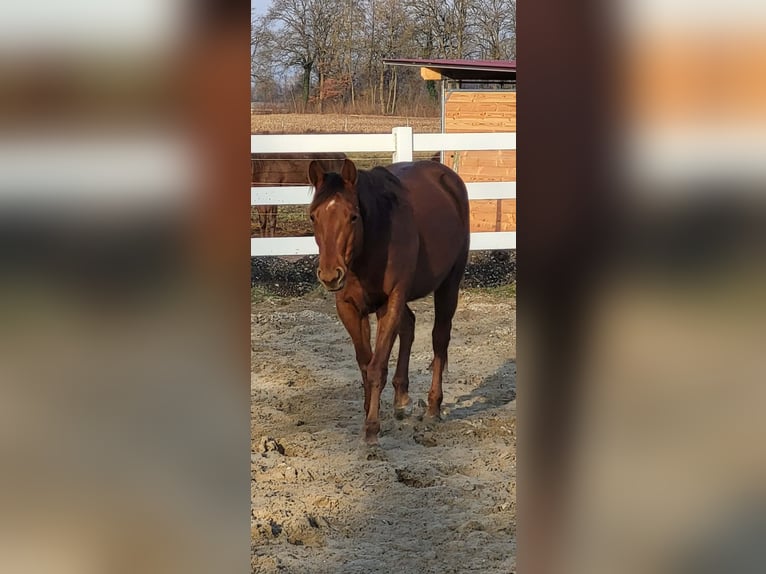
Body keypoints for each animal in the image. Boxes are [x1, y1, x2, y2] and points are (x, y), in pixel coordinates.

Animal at [308, 158, 470, 444]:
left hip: (449, 283)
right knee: (410, 326)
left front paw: (372, 428)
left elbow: (376, 367)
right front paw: (368, 412)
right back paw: (401, 399)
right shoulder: (349, 308)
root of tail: (448, 177)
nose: (330, 275)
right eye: (313, 216)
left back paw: (433, 407)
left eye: (353, 216)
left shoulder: (390, 301)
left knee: (440, 339)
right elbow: (365, 364)